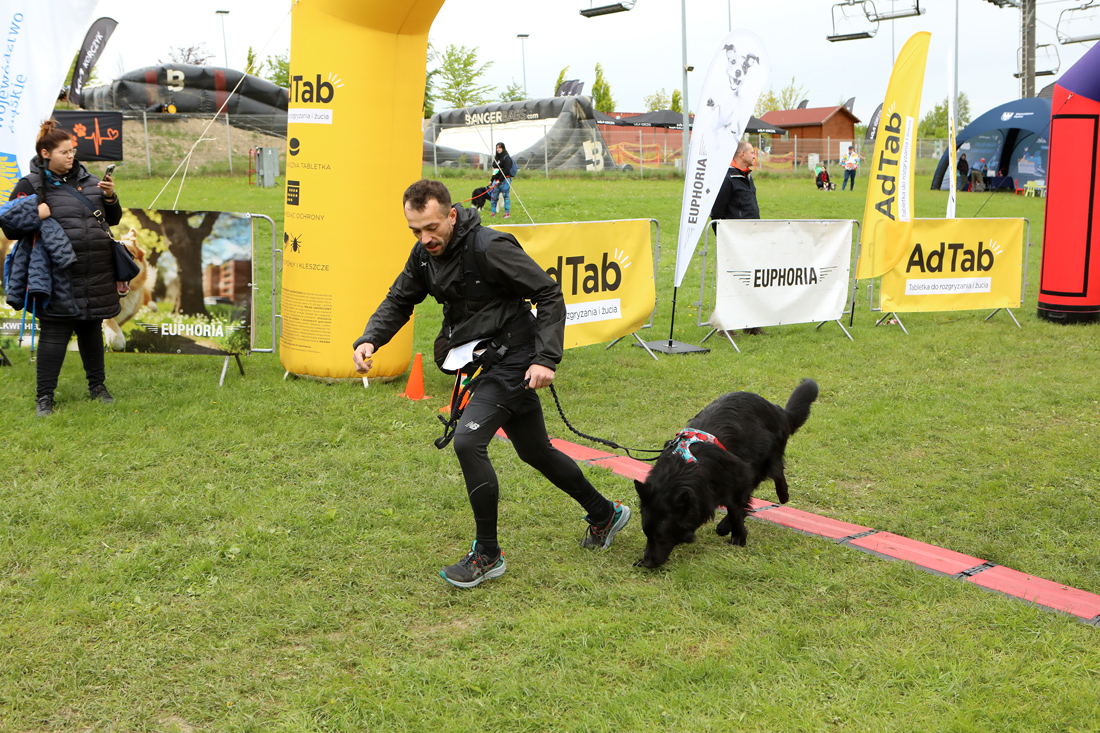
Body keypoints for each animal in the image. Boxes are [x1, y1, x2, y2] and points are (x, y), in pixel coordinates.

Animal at [633, 378, 819, 568]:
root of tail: (777, 410)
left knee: (777, 472)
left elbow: (736, 510)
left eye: (662, 538)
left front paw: (738, 538)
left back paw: (783, 495)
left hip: (765, 459)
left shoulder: (739, 477)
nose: (647, 563)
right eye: (647, 534)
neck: (683, 467)